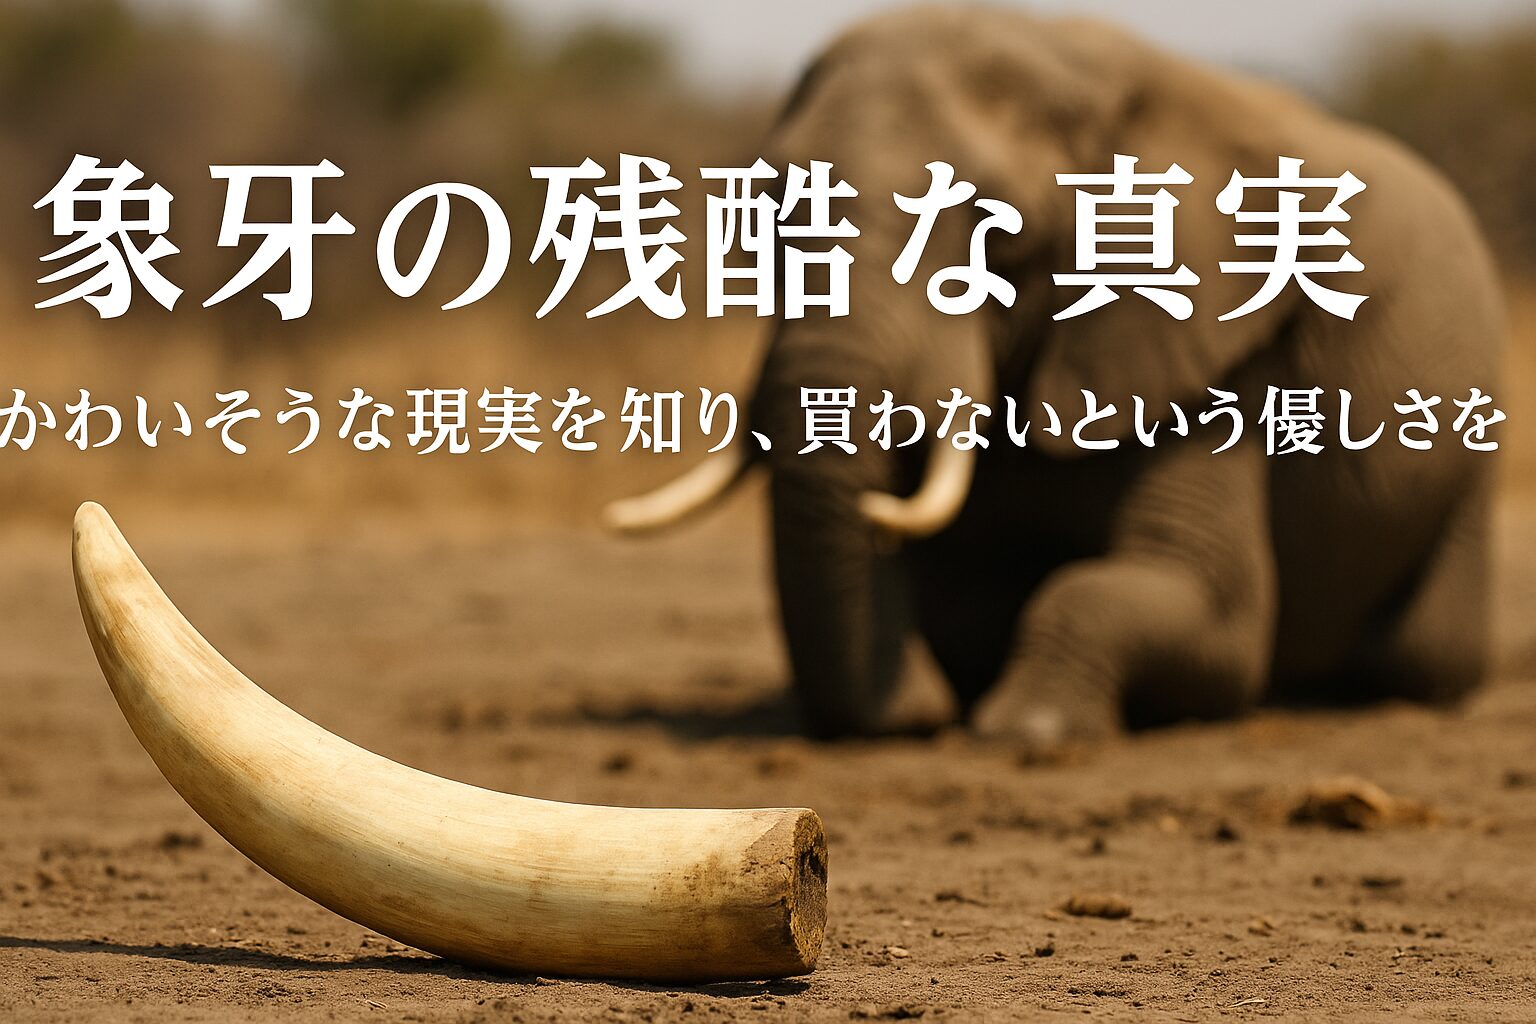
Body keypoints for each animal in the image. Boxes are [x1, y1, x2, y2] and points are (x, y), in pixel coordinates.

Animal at [606, 6, 1505, 749]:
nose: (908, 723)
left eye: (999, 233)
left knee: (1424, 655)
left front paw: (1025, 731)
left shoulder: (1223, 353)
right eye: (760, 218)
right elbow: (962, 597)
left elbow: (1208, 609)